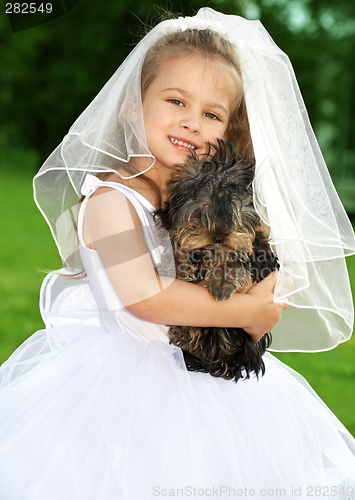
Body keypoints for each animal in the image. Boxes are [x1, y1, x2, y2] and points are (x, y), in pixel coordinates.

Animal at [154, 141, 280, 382]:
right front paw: (179, 268)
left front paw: (222, 283)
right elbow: (176, 241)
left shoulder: (257, 251)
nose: (220, 237)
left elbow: (236, 257)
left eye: (235, 216)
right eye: (201, 214)